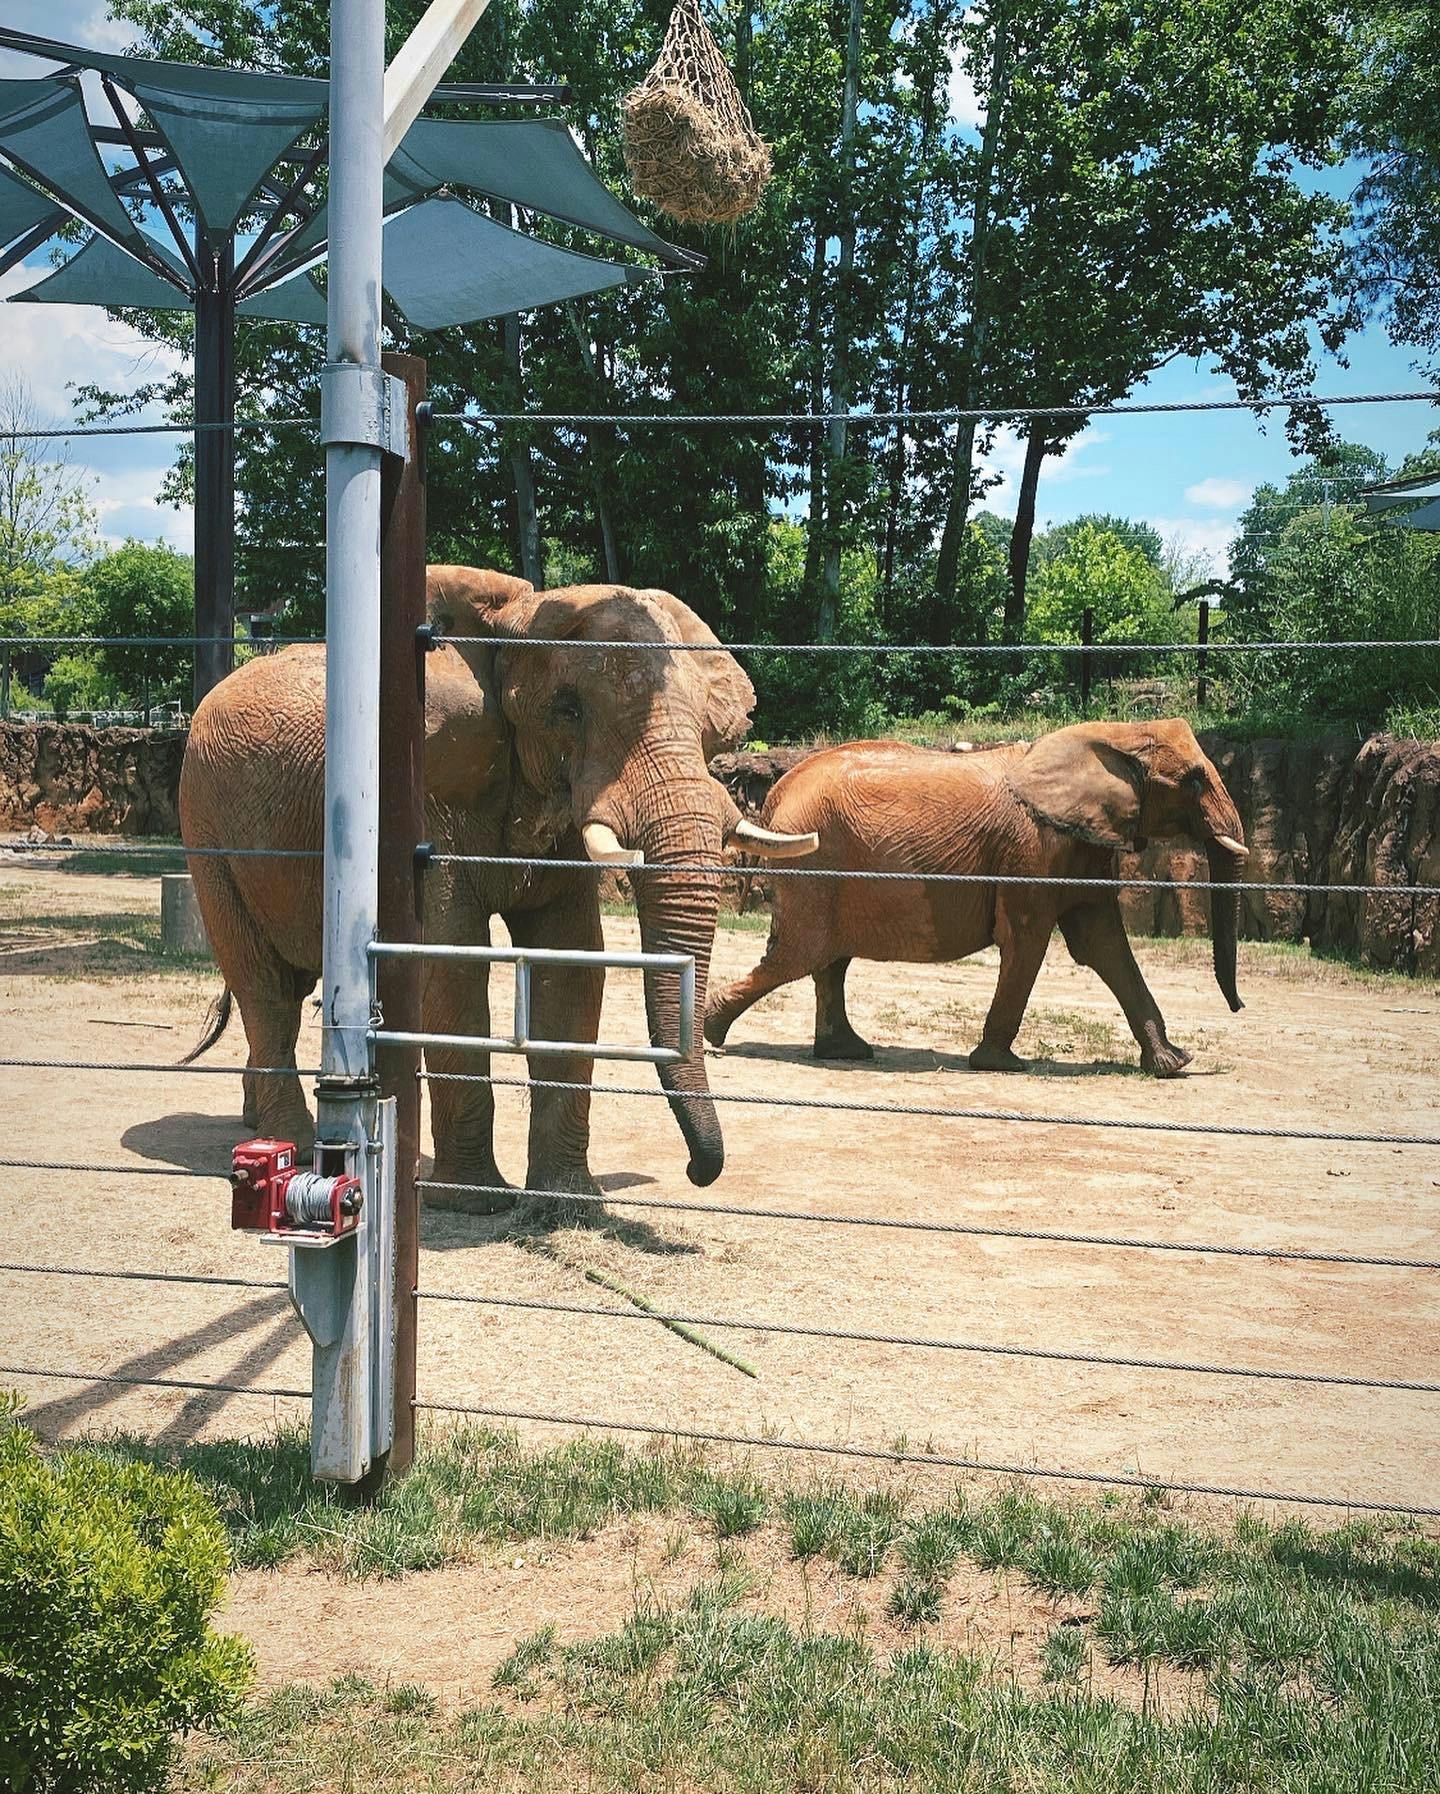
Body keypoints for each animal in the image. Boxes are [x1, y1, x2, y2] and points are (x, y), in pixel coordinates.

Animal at [178, 566, 817, 1204]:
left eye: (705, 726)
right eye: (567, 710)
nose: (694, 1171)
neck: (519, 616)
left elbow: (573, 963)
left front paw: (566, 1201)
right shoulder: (431, 797)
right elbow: (453, 962)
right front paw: (475, 1201)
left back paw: (256, 1122)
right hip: (206, 825)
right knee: (264, 989)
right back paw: (288, 1143)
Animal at [704, 719, 1249, 1076]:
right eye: (1194, 780)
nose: (1239, 1007)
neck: (1115, 734)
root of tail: (775, 792)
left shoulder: (1081, 846)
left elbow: (1104, 943)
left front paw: (1173, 1064)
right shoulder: (1032, 850)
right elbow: (1028, 941)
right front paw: (1001, 1064)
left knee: (826, 961)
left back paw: (846, 1051)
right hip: (814, 869)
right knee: (799, 954)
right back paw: (711, 1034)